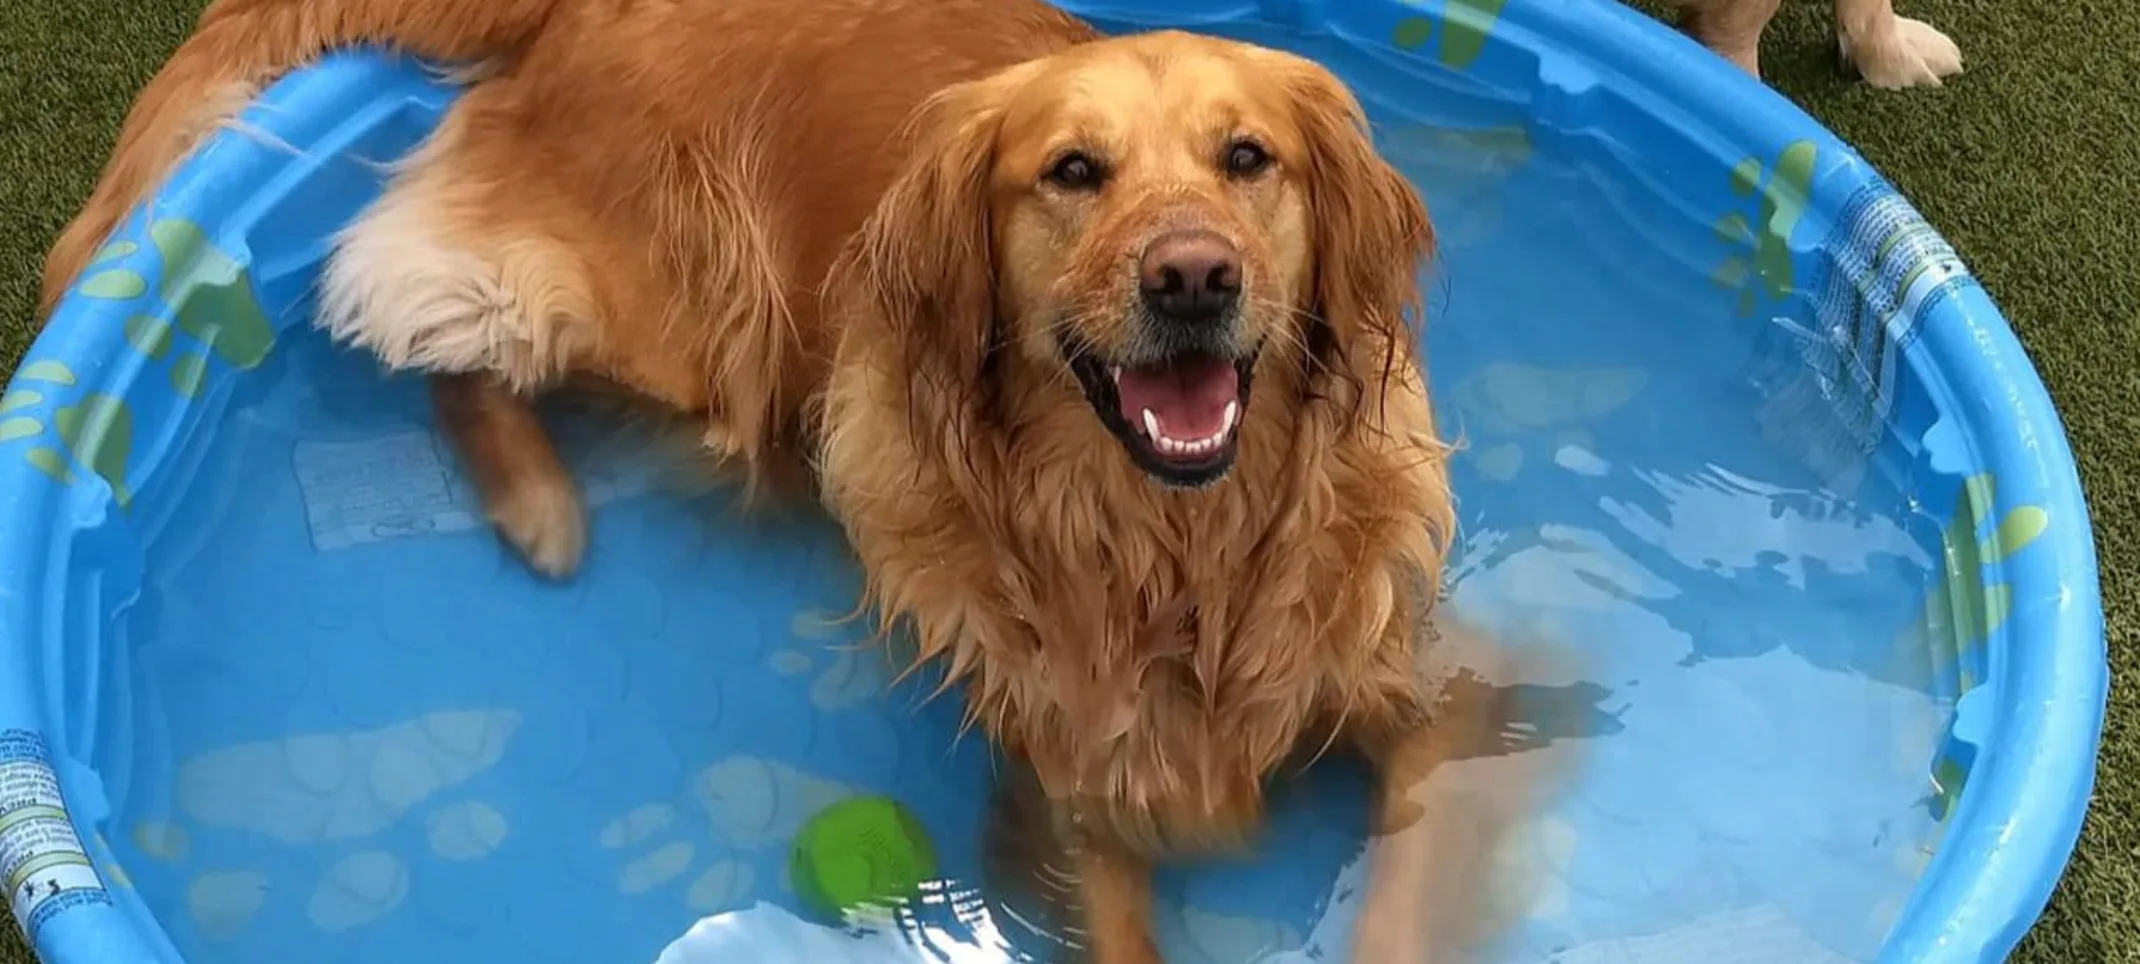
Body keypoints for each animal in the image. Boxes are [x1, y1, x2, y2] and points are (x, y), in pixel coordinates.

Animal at [46, 0, 1472, 955]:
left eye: (1248, 159)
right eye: (1072, 170)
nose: (1192, 277)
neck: (1183, 551)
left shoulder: (1419, 695)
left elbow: (1413, 876)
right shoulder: (1071, 788)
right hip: (675, 317)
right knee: (428, 335)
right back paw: (538, 508)